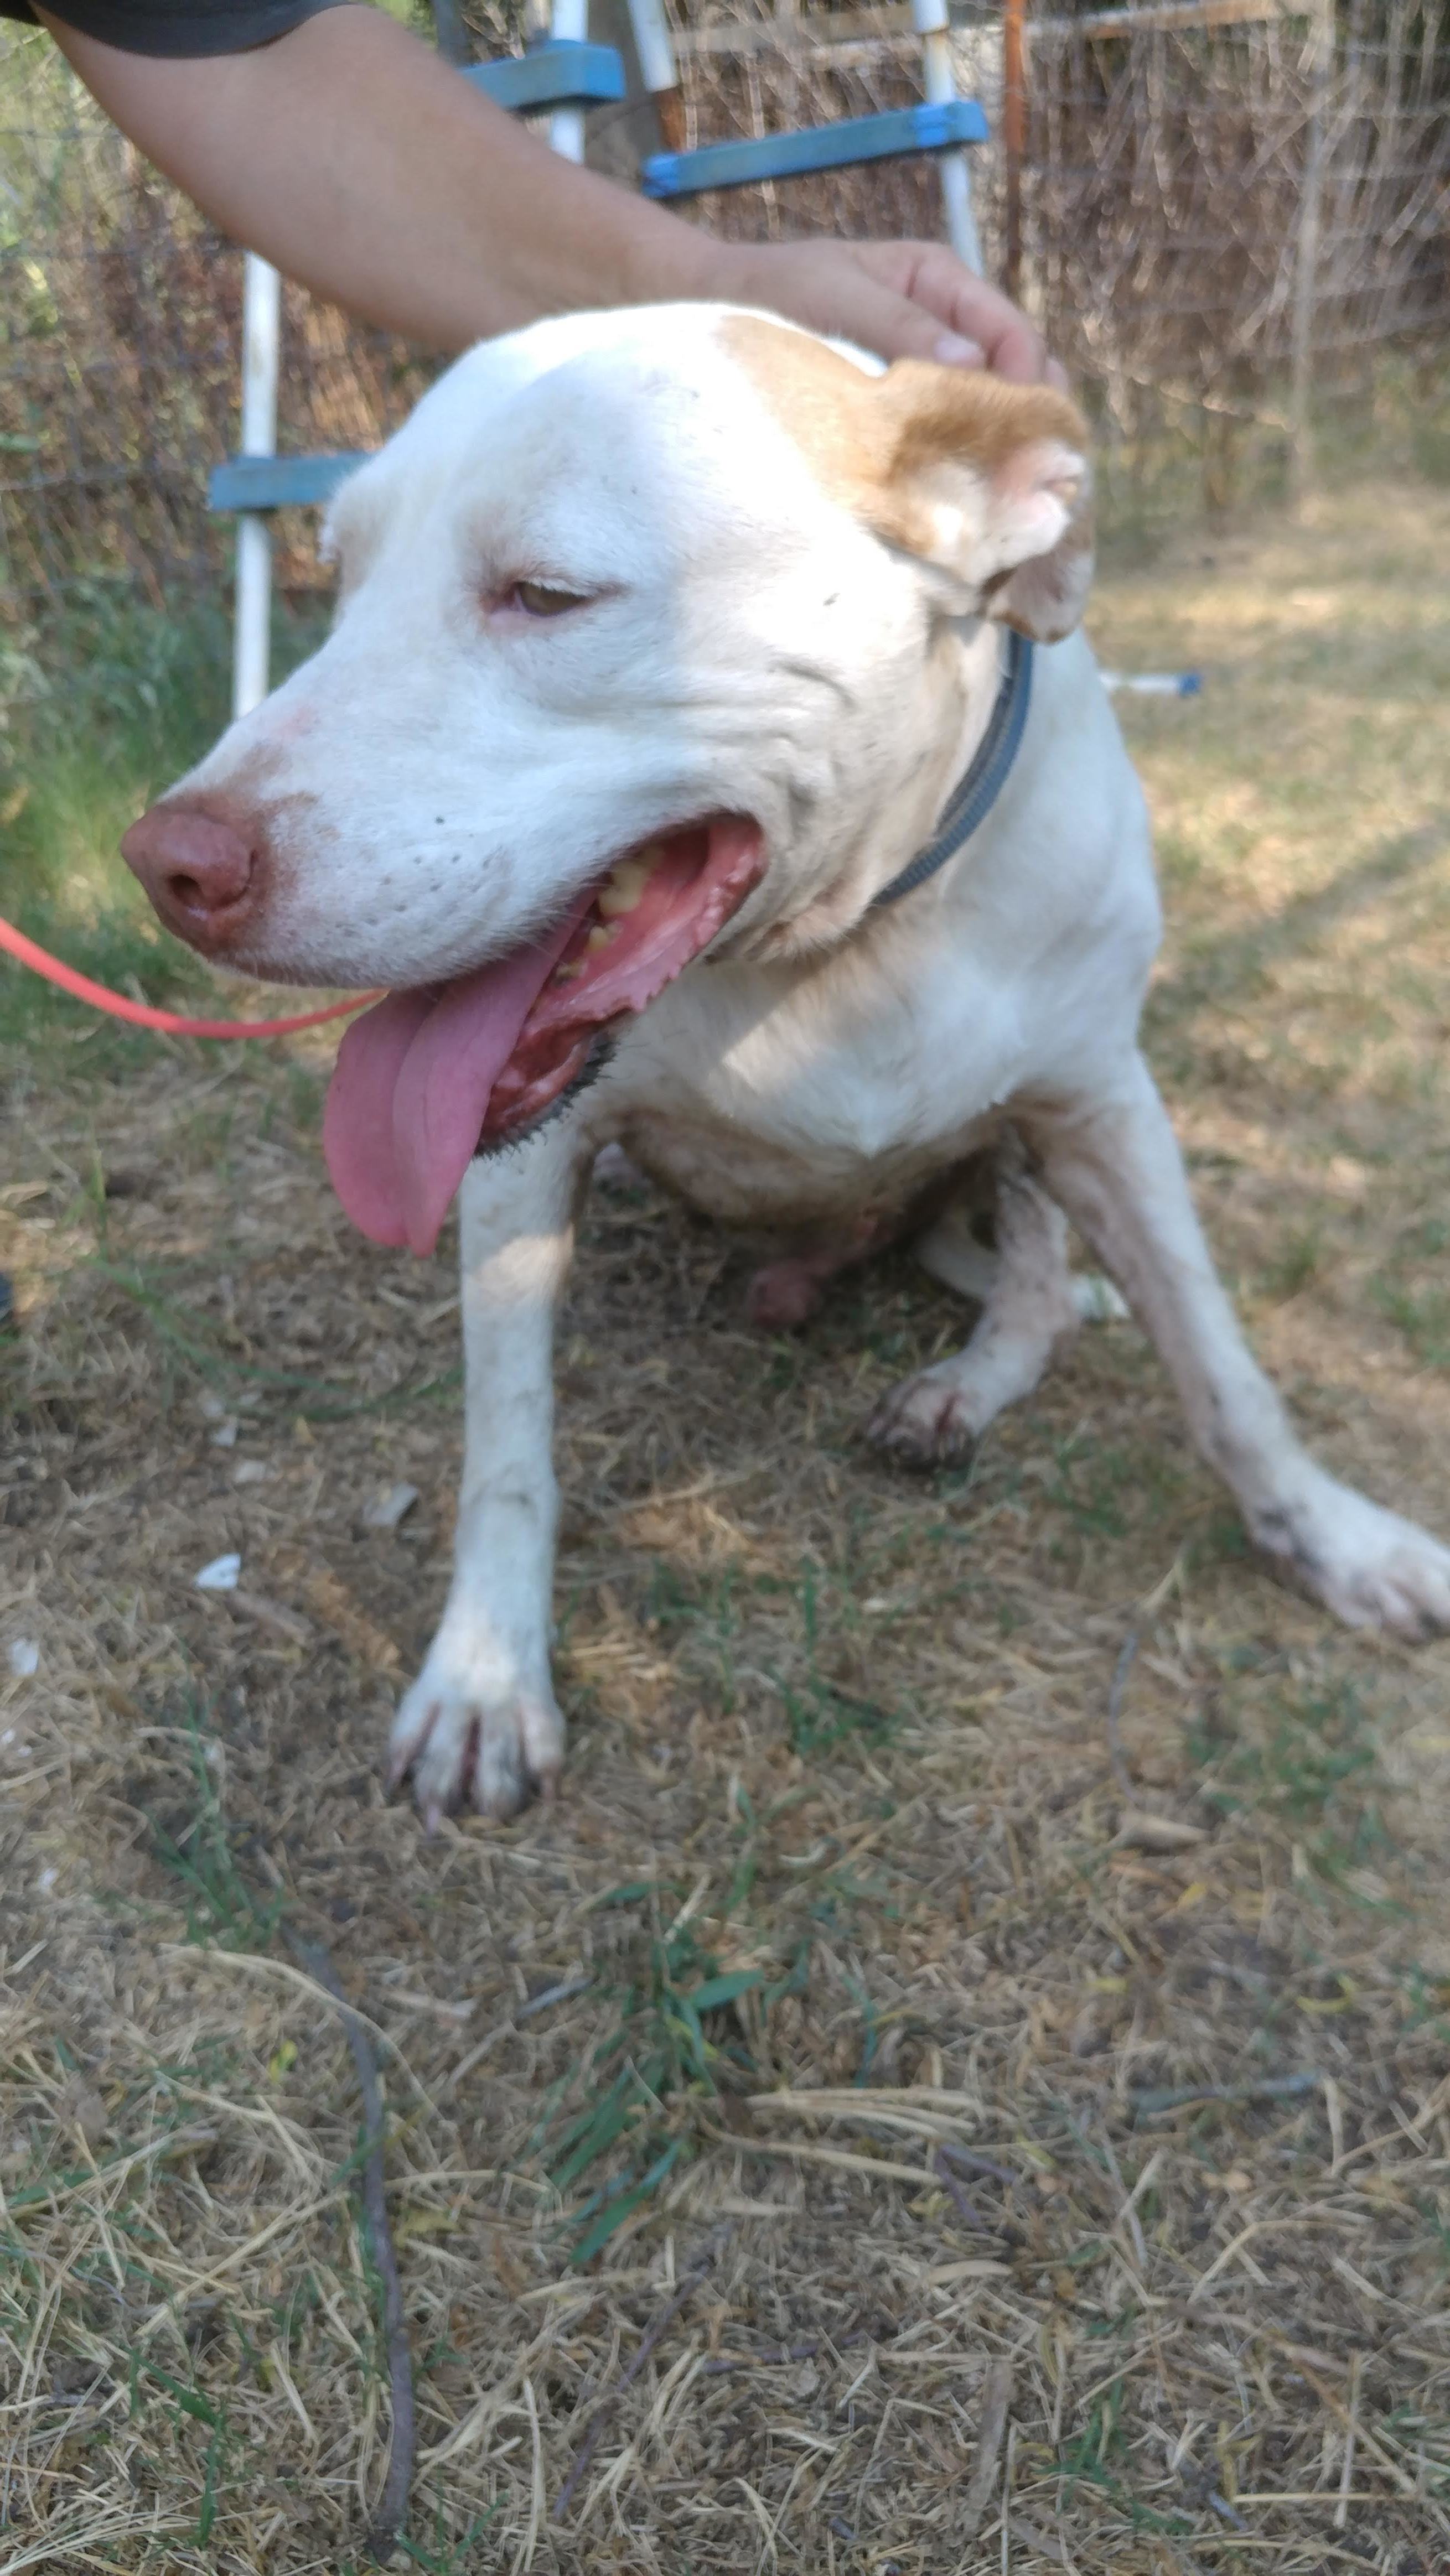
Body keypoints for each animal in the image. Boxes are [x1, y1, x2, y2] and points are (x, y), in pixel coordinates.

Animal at [121, 311, 1450, 1824]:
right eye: (338, 580)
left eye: (547, 594)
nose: (169, 867)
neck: (846, 940)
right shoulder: (520, 1170)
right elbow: (507, 1451)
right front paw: (483, 1677)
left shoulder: (1103, 1106)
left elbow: (1226, 1375)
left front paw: (1337, 1540)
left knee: (1040, 1295)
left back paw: (962, 1386)